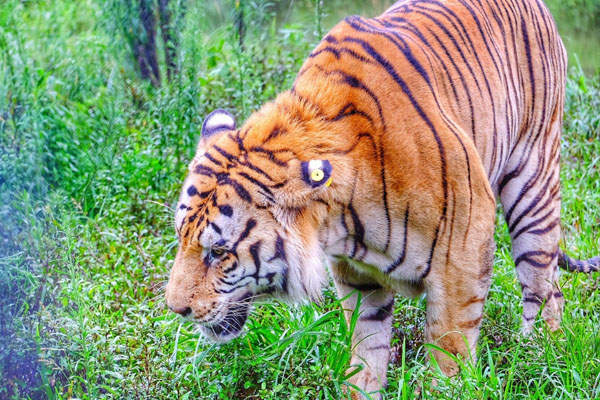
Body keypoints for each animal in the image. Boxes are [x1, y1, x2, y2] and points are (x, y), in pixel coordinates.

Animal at [165, 0, 600, 396]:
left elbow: (450, 355)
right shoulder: (359, 281)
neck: (340, 222)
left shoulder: (465, 251)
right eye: (181, 239)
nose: (175, 309)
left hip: (533, 183)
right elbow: (366, 355)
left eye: (219, 252)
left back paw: (536, 358)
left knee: (544, 286)